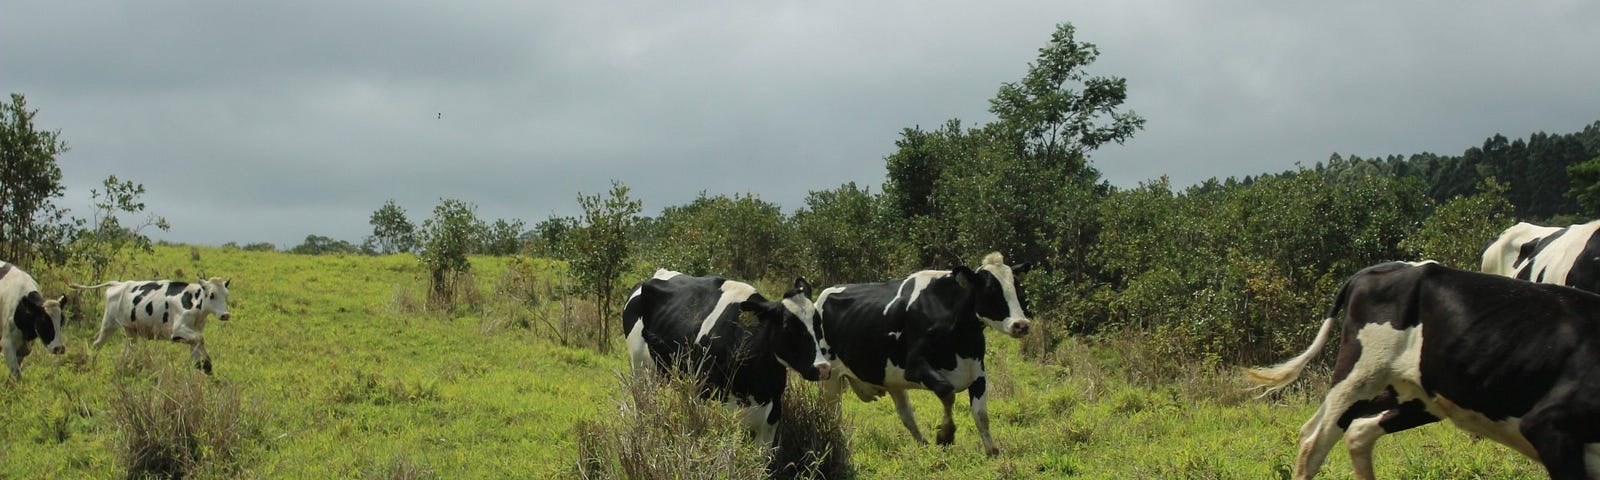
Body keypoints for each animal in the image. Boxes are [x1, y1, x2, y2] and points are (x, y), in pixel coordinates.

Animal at [76, 275, 233, 372]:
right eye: (212, 295)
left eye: (226, 295)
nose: (225, 315)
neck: (193, 302)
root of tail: (120, 284)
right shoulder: (177, 331)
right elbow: (200, 339)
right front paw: (207, 365)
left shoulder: (195, 330)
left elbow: (196, 346)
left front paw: (204, 367)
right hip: (109, 323)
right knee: (97, 344)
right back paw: (91, 364)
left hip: (131, 330)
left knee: (128, 350)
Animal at [620, 268, 832, 444]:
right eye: (787, 327)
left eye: (818, 322)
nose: (823, 368)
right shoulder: (712, 407)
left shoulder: (772, 416)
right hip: (641, 371)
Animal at [819, 252, 1030, 454]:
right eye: (990, 290)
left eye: (1018, 290)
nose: (1021, 325)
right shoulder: (914, 366)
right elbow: (947, 391)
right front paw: (945, 434)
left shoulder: (978, 372)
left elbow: (981, 414)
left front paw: (992, 450)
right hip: (830, 377)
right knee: (833, 415)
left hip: (891, 379)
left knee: (906, 414)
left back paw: (923, 445)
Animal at [1241, 262, 1600, 480]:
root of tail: (1383, 268)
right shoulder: (1548, 426)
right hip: (1361, 374)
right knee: (1314, 439)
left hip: (1415, 394)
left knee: (1358, 431)